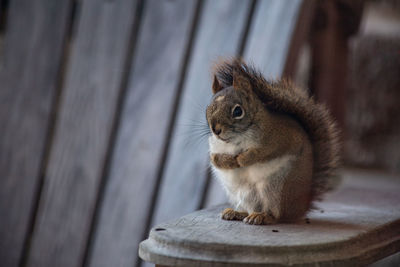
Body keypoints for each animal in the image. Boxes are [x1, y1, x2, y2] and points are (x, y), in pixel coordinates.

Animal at [206, 58, 340, 226]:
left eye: (238, 111)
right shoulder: (214, 147)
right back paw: (236, 212)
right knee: (249, 209)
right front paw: (229, 161)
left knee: (278, 215)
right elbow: (215, 159)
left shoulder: (280, 138)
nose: (215, 129)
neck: (235, 139)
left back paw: (263, 216)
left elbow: (263, 152)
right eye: (208, 108)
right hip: (244, 193)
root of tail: (302, 207)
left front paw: (243, 159)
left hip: (278, 189)